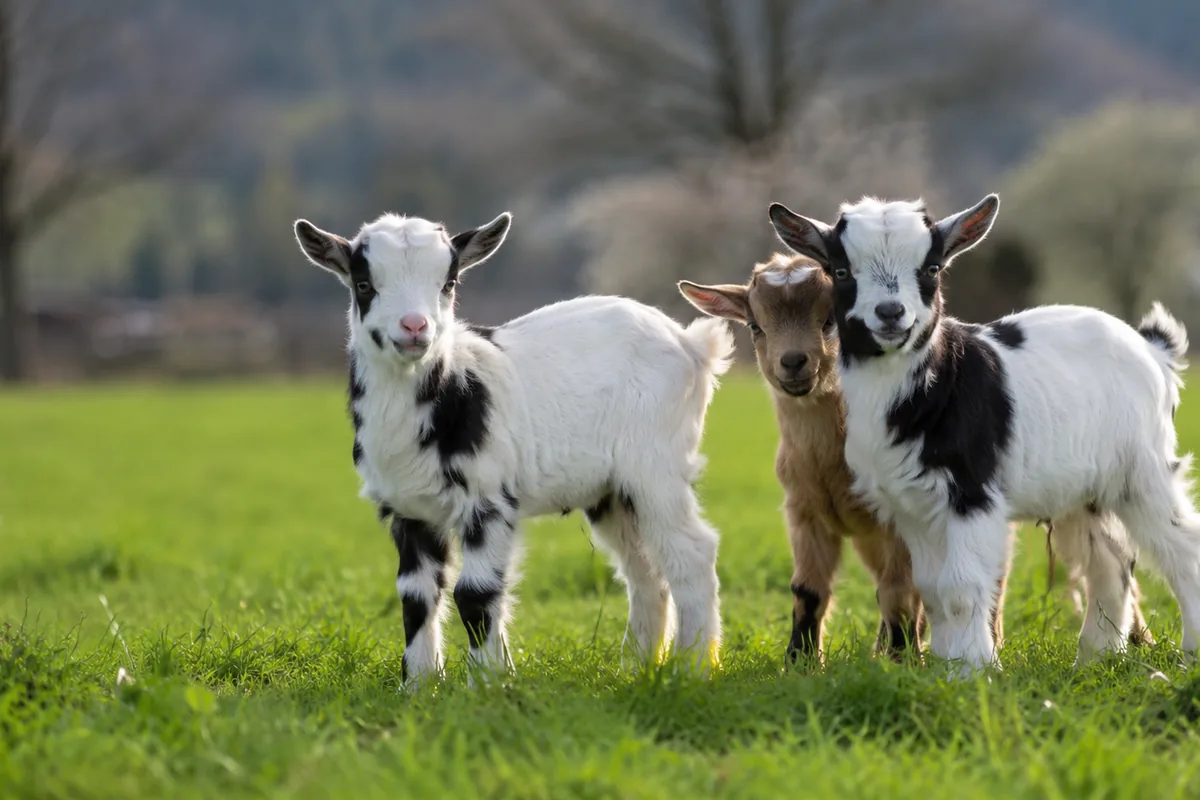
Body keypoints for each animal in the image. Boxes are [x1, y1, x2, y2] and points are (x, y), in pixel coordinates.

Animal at [293, 211, 734, 683]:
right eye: (363, 283)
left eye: (448, 283)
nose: (414, 327)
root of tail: (693, 345)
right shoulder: (409, 509)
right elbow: (415, 595)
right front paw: (420, 685)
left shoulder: (488, 498)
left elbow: (475, 592)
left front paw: (487, 684)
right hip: (612, 493)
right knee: (645, 571)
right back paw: (636, 667)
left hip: (656, 466)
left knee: (692, 552)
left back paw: (693, 668)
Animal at [767, 193, 1195, 673]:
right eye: (841, 271)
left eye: (931, 268)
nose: (891, 313)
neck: (936, 383)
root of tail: (1153, 349)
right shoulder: (913, 507)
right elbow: (932, 589)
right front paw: (944, 664)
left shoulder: (970, 493)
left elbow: (960, 585)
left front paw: (974, 671)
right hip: (1083, 489)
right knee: (1110, 560)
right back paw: (1094, 659)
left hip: (1143, 467)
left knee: (1182, 547)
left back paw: (1187, 654)